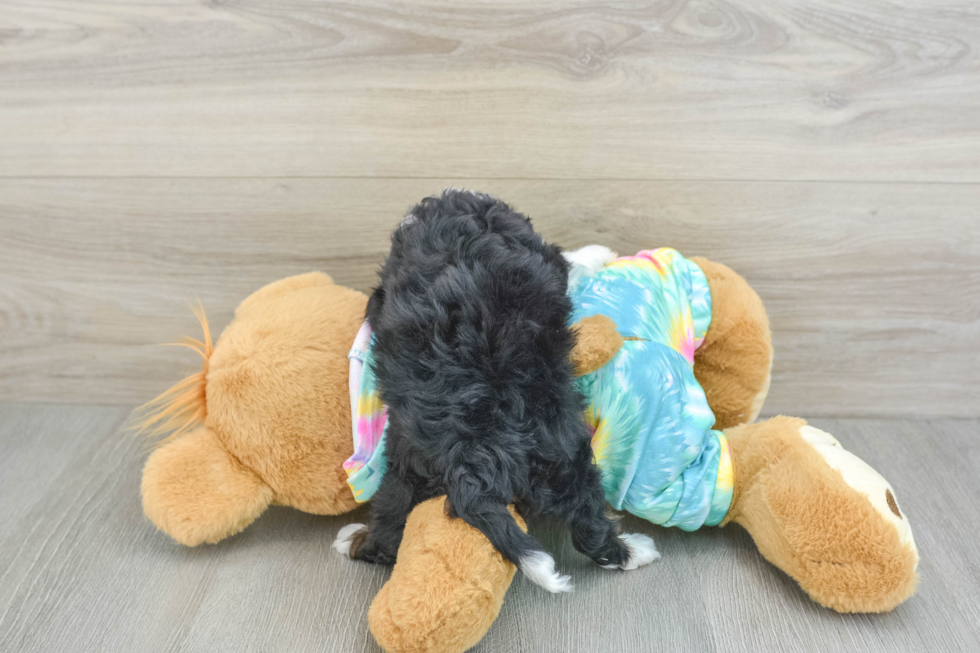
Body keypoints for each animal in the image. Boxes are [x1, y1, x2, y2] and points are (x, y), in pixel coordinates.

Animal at [332, 188, 660, 592]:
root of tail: (468, 453)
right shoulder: (548, 259)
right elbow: (570, 260)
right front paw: (598, 252)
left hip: (406, 459)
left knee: (390, 520)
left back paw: (354, 540)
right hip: (565, 455)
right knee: (589, 526)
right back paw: (634, 551)